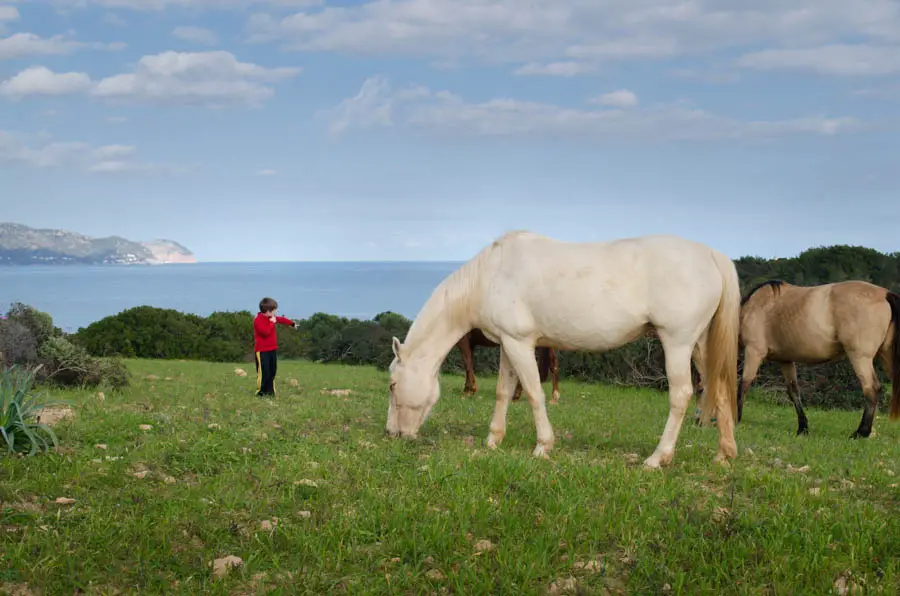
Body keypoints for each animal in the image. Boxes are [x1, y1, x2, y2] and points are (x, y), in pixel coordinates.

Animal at [384, 230, 740, 468]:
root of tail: (711, 254)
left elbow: (533, 392)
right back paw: (724, 454)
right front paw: (493, 440)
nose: (392, 434)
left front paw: (543, 445)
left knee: (681, 395)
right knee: (720, 390)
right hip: (700, 346)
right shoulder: (508, 345)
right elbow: (503, 392)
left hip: (677, 343)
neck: (491, 273)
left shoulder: (520, 344)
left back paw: (658, 458)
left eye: (392, 384)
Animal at [732, 280, 900, 438]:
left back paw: (861, 432)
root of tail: (885, 294)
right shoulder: (785, 360)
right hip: (885, 356)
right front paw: (802, 428)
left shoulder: (753, 351)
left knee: (871, 389)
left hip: (860, 357)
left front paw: (736, 419)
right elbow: (794, 392)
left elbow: (743, 385)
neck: (753, 307)